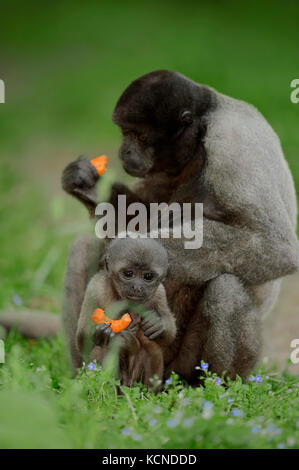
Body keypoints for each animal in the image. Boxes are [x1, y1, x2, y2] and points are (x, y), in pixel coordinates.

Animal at [76, 239, 177, 390]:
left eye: (148, 276)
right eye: (129, 274)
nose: (137, 287)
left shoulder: (160, 293)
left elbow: (168, 337)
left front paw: (158, 324)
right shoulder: (95, 288)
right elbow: (82, 341)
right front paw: (101, 332)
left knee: (151, 347)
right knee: (104, 347)